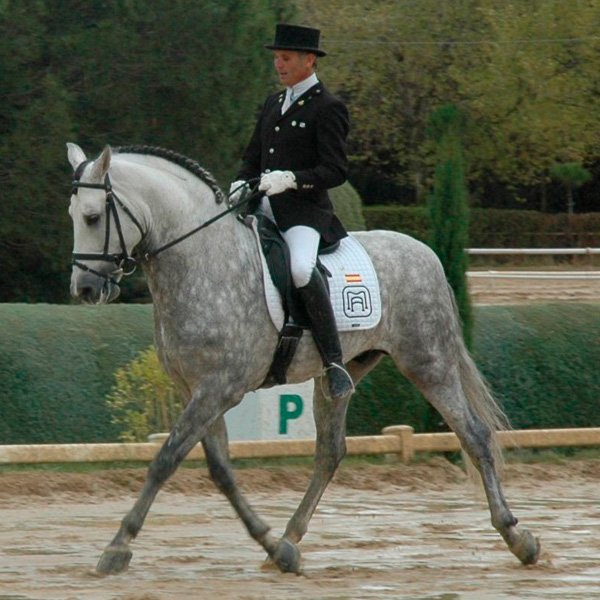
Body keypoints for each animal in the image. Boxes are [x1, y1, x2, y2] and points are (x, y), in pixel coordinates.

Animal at [65, 143, 540, 576]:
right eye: (73, 217)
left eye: (92, 217)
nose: (85, 290)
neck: (202, 262)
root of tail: (425, 254)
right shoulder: (195, 389)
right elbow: (220, 470)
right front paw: (273, 546)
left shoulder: (219, 388)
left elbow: (165, 460)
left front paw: (117, 546)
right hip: (344, 372)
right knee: (330, 451)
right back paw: (291, 538)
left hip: (429, 364)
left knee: (475, 436)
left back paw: (519, 539)